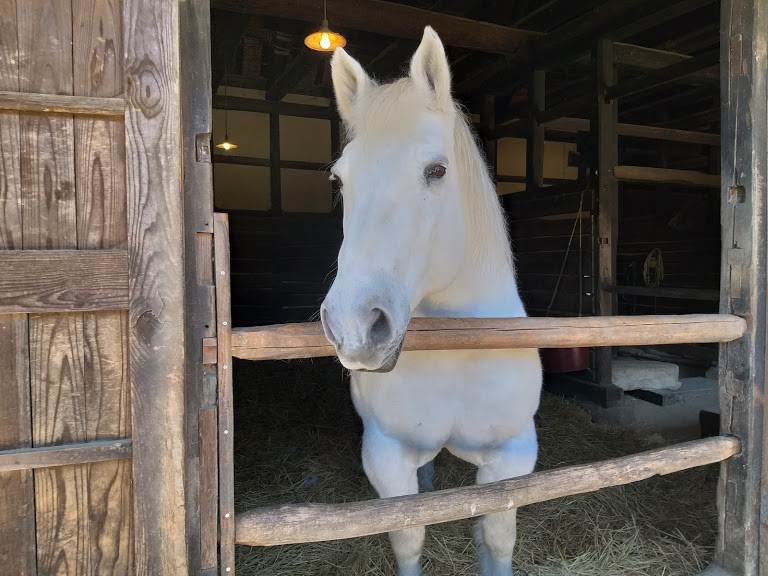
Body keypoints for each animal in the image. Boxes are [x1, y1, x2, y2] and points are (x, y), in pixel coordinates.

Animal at [320, 27, 544, 576]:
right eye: (339, 180)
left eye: (436, 170)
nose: (355, 326)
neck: (458, 347)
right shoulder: (386, 456)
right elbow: (408, 538)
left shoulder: (512, 457)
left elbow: (496, 541)